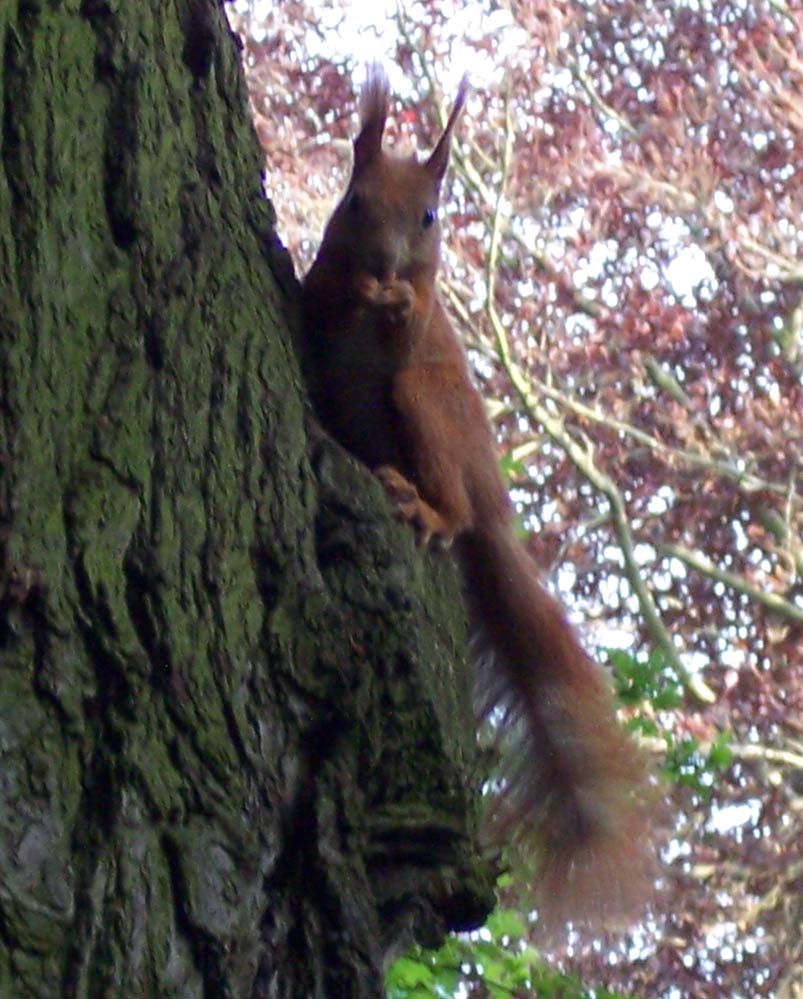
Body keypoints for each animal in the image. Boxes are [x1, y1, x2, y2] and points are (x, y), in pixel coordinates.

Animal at [298, 66, 656, 932]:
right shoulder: (319, 286)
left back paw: (428, 508)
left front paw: (392, 301)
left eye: (430, 216)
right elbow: (322, 294)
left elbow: (410, 319)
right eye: (353, 201)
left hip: (426, 405)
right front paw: (359, 284)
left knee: (455, 512)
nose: (386, 262)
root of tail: (493, 500)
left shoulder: (424, 315)